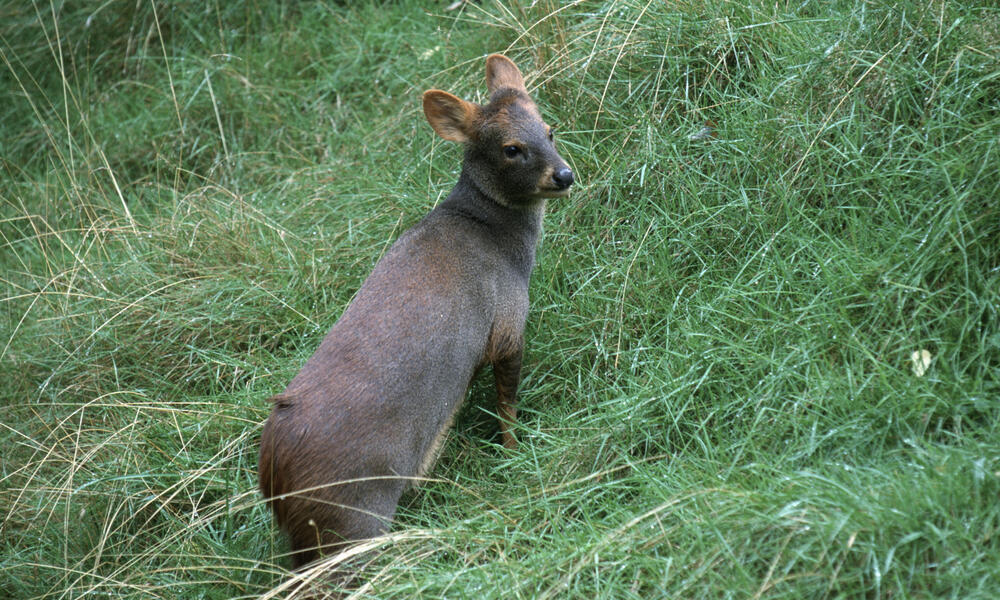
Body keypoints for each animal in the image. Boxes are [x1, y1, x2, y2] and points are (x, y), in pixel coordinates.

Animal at [256, 54, 572, 568]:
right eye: (511, 148)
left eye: (549, 129)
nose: (563, 176)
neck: (501, 243)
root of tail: (273, 476)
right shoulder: (507, 324)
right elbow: (507, 404)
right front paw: (514, 453)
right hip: (351, 519)